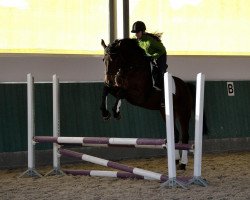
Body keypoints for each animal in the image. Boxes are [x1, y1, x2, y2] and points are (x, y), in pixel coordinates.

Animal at [100, 38, 194, 170]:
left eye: (115, 59)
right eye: (103, 60)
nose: (108, 80)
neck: (132, 67)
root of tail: (185, 86)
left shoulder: (138, 96)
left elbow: (121, 93)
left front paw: (116, 112)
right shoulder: (118, 88)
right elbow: (107, 90)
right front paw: (106, 113)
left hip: (184, 113)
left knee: (185, 136)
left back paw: (183, 164)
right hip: (165, 112)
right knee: (175, 134)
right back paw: (175, 160)